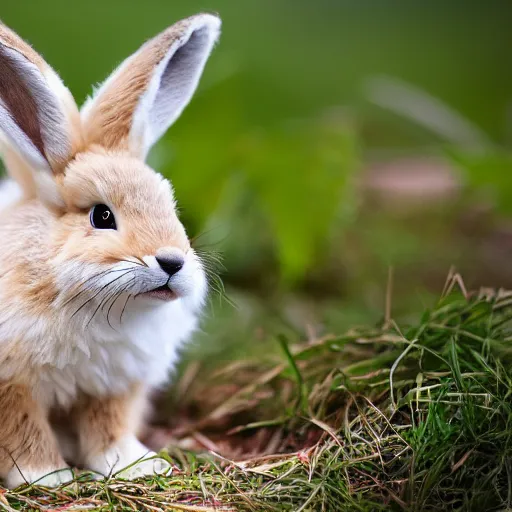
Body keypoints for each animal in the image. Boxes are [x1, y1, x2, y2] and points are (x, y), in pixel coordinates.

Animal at [0, 10, 220, 486]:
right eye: (102, 216)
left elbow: (109, 429)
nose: (171, 261)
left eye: (170, 205)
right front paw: (46, 476)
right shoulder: (13, 385)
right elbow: (25, 429)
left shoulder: (115, 386)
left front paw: (136, 465)